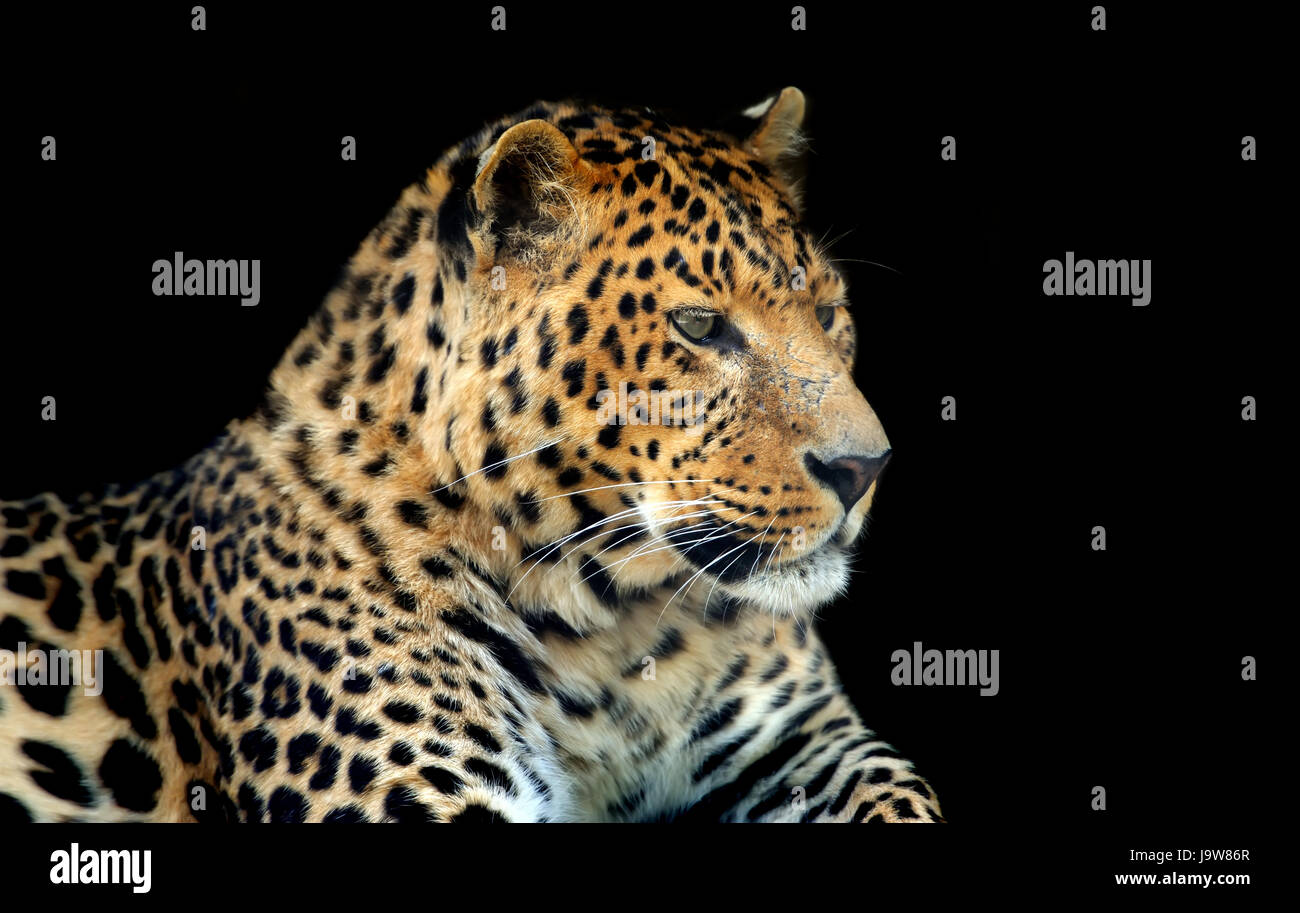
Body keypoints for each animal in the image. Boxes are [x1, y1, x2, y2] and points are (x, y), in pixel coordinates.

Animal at [0, 88, 944, 823]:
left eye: (829, 313)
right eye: (700, 326)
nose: (866, 468)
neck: (619, 635)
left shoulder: (810, 741)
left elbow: (904, 791)